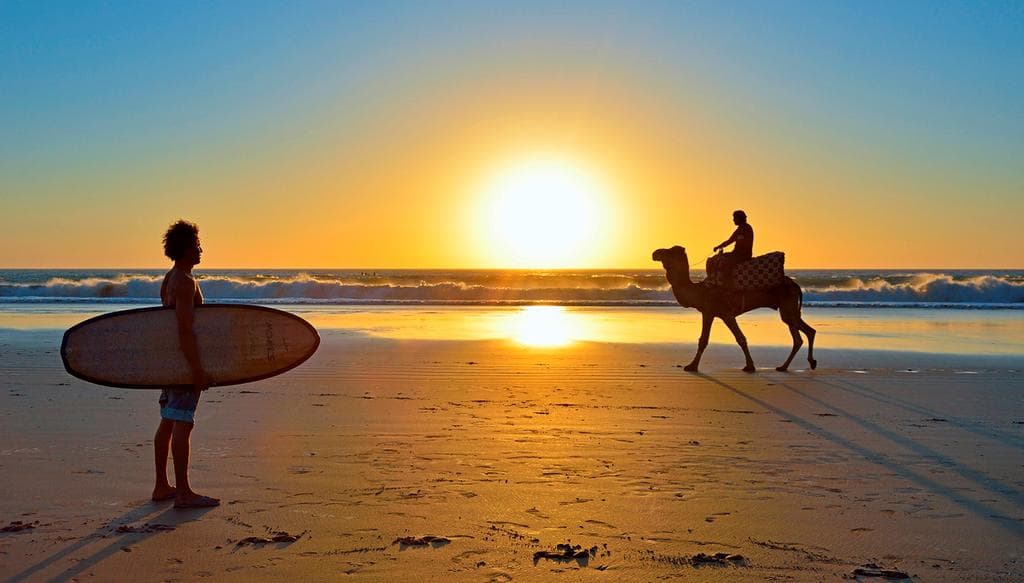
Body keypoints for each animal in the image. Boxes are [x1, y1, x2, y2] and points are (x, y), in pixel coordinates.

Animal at [655, 244, 815, 372]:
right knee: (802, 335)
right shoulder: (709, 312)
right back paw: (788, 366)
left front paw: (750, 366)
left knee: (802, 333)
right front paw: (692, 365)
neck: (700, 290)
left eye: (670, 251)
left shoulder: (725, 313)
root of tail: (795, 285)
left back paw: (802, 363)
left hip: (788, 306)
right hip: (789, 308)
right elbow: (704, 340)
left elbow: (739, 338)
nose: (655, 252)